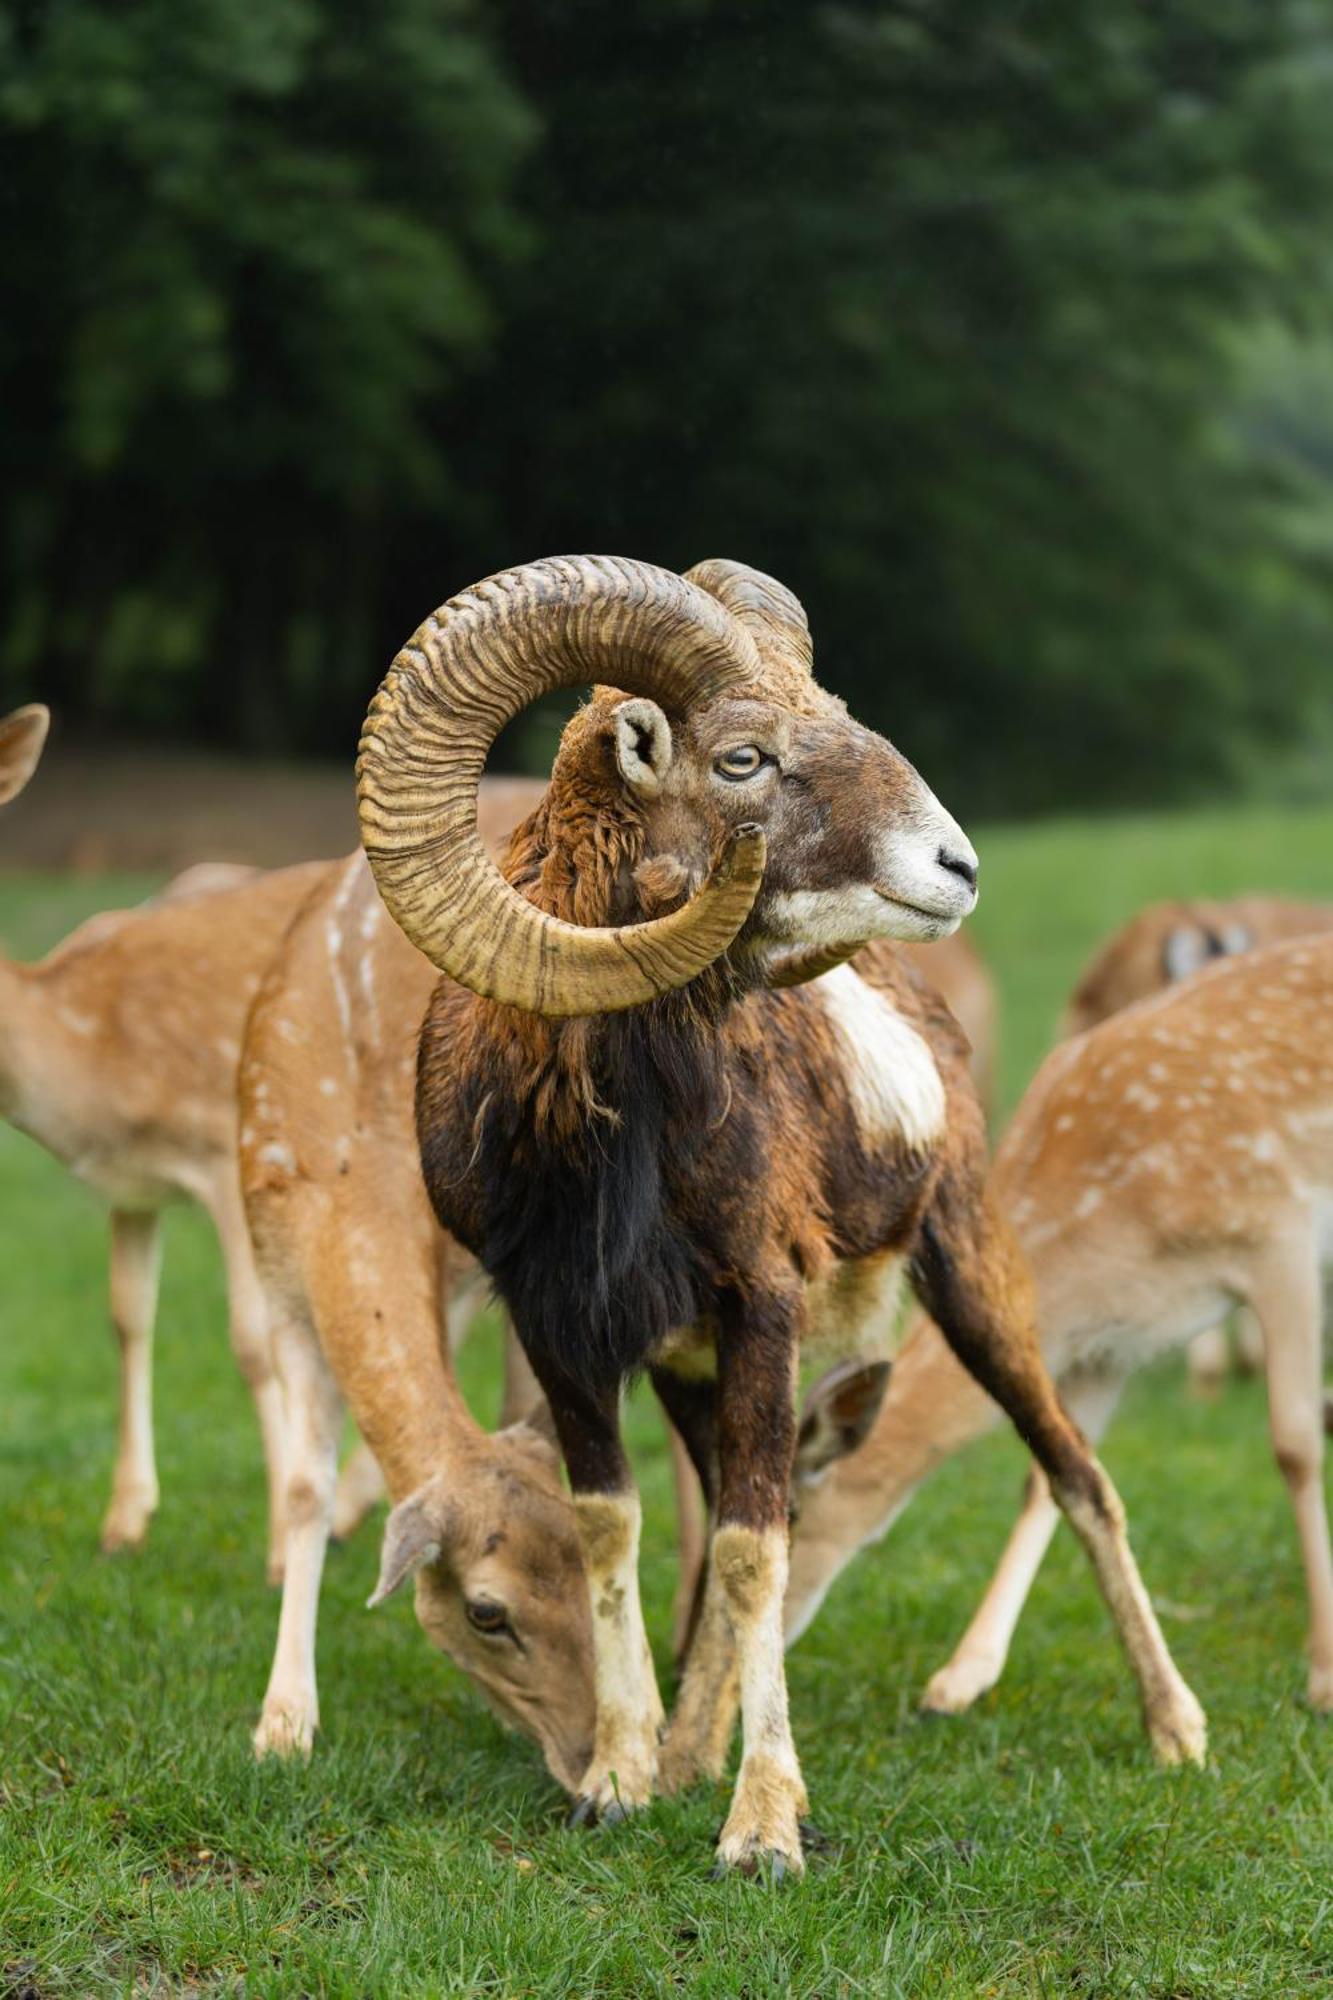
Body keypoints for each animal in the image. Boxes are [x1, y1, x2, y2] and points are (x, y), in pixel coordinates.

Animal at [0, 712, 330, 1568]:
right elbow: (126, 1317)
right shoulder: (129, 1186)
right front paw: (123, 1521)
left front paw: (278, 1551)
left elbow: (250, 1342)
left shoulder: (226, 1153)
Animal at [784, 920, 1328, 1720]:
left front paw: (1323, 1673)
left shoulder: (1279, 1234)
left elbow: (1293, 1445)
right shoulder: (1108, 1345)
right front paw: (959, 1677)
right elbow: (1054, 1472)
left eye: (790, 1513)